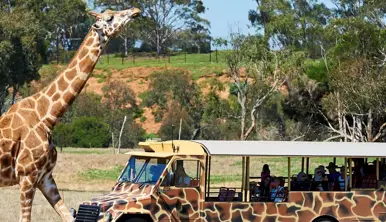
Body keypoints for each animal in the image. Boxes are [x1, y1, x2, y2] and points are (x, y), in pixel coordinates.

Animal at [0, 6, 141, 222]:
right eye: (110, 17)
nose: (136, 10)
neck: (47, 116)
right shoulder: (27, 175)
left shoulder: (45, 177)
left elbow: (67, 215)